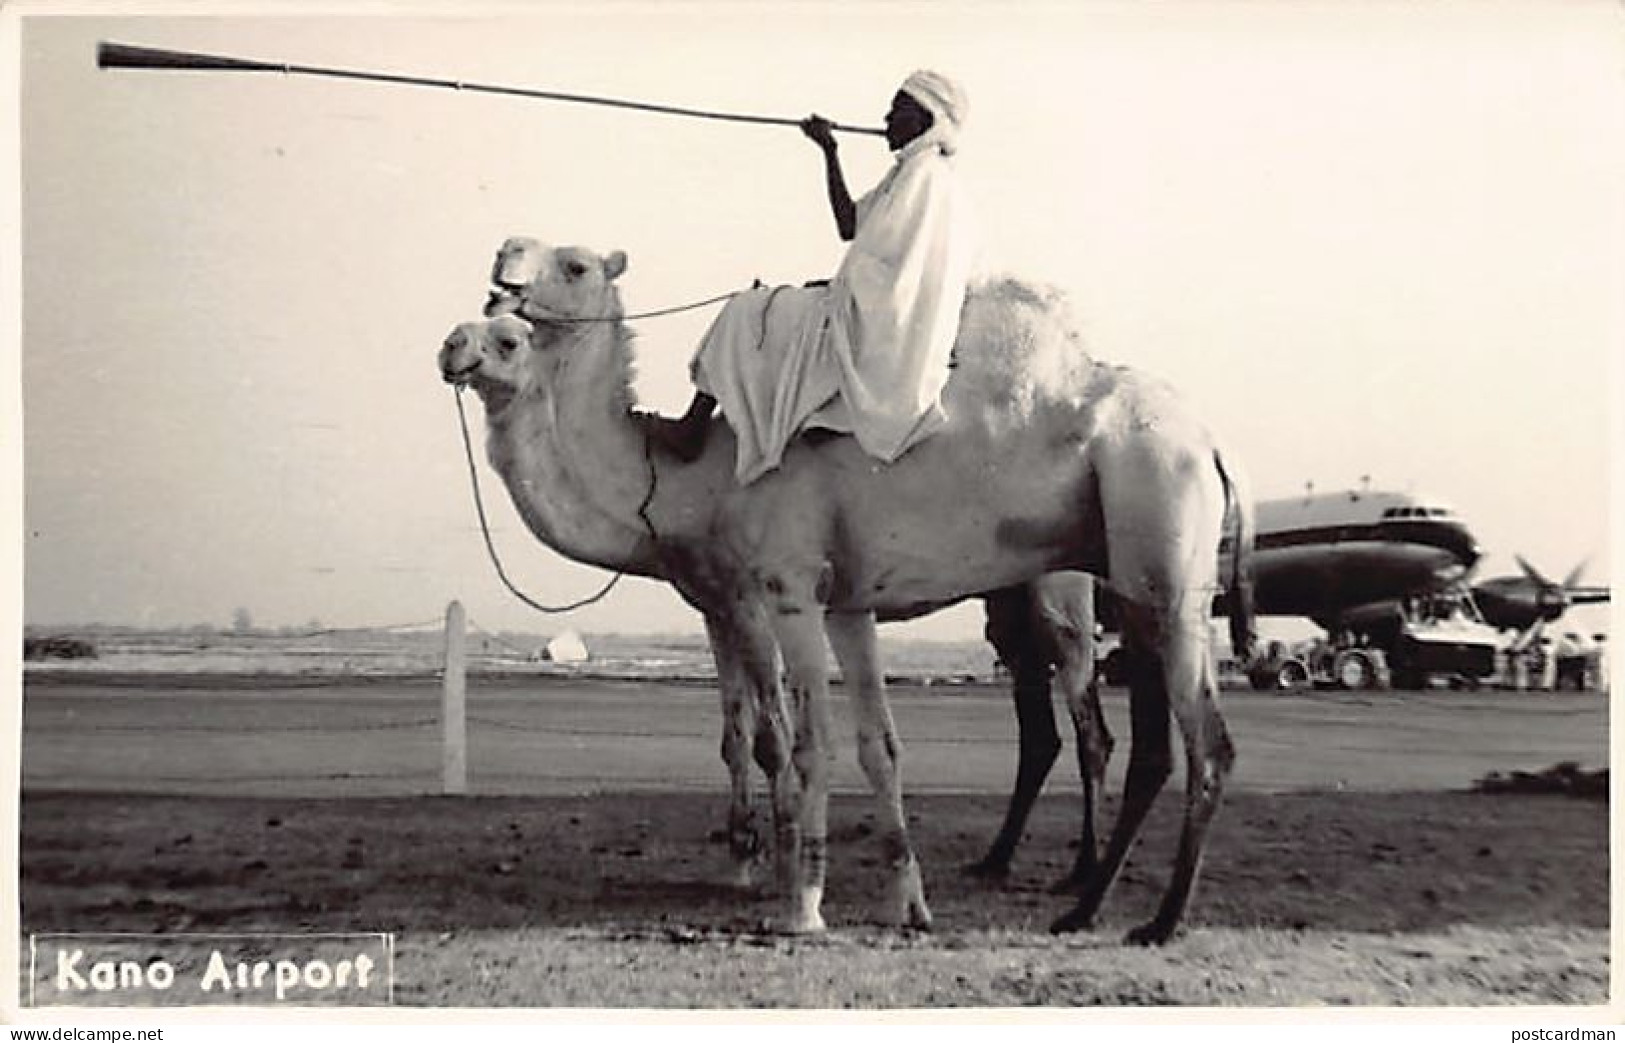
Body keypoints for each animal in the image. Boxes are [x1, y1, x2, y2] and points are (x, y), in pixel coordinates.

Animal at [438, 240, 1248, 935]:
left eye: (568, 267)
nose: (455, 340)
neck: (681, 475)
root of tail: (1210, 442)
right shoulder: (819, 600)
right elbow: (860, 743)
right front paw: (903, 902)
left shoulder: (781, 587)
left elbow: (798, 741)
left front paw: (795, 898)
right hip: (1102, 581)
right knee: (1118, 739)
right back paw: (1069, 896)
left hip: (1136, 571)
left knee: (1173, 738)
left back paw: (1147, 914)